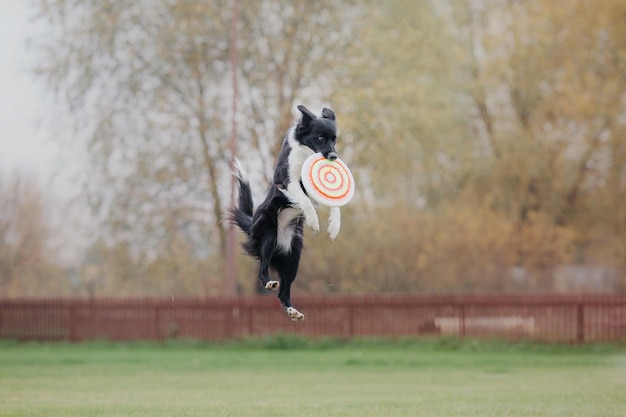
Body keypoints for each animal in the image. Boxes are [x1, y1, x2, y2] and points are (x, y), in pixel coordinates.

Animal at [228, 105, 338, 320]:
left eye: (334, 139)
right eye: (321, 138)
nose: (334, 157)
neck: (306, 152)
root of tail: (251, 224)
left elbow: (334, 204)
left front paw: (334, 227)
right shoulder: (286, 180)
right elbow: (305, 200)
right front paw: (313, 221)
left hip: (294, 256)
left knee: (283, 291)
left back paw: (292, 311)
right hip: (269, 235)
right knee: (262, 272)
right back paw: (269, 282)